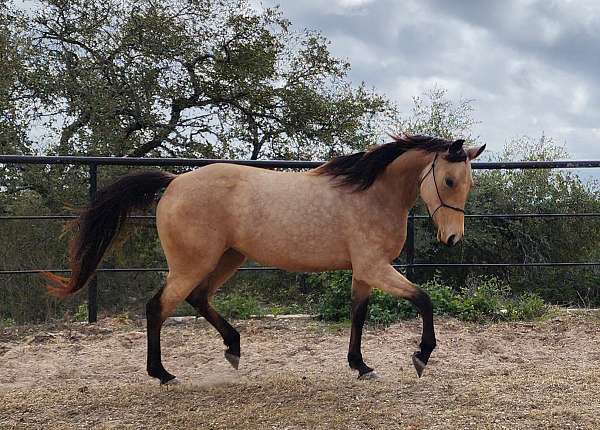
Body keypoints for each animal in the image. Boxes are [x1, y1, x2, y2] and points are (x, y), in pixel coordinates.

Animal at [45, 134, 488, 382]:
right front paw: (421, 356)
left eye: (468, 183)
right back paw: (163, 374)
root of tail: (173, 182)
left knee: (198, 299)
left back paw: (233, 349)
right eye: (449, 180)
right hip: (193, 264)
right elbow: (424, 299)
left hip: (227, 258)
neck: (371, 194)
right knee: (158, 306)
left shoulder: (364, 272)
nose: (452, 238)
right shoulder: (375, 268)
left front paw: (360, 366)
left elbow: (358, 315)